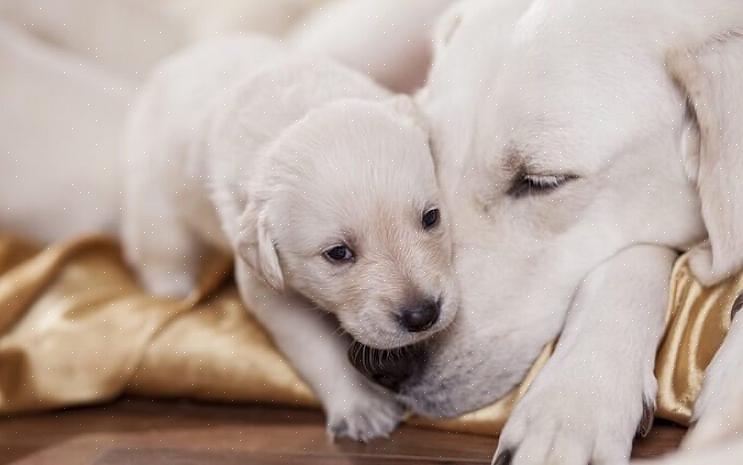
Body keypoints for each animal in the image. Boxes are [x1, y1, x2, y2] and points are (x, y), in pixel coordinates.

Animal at [122, 36, 460, 438]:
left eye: (431, 217)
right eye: (338, 253)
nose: (422, 315)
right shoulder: (266, 286)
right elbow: (316, 347)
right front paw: (360, 407)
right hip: (155, 198)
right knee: (162, 252)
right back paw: (173, 290)